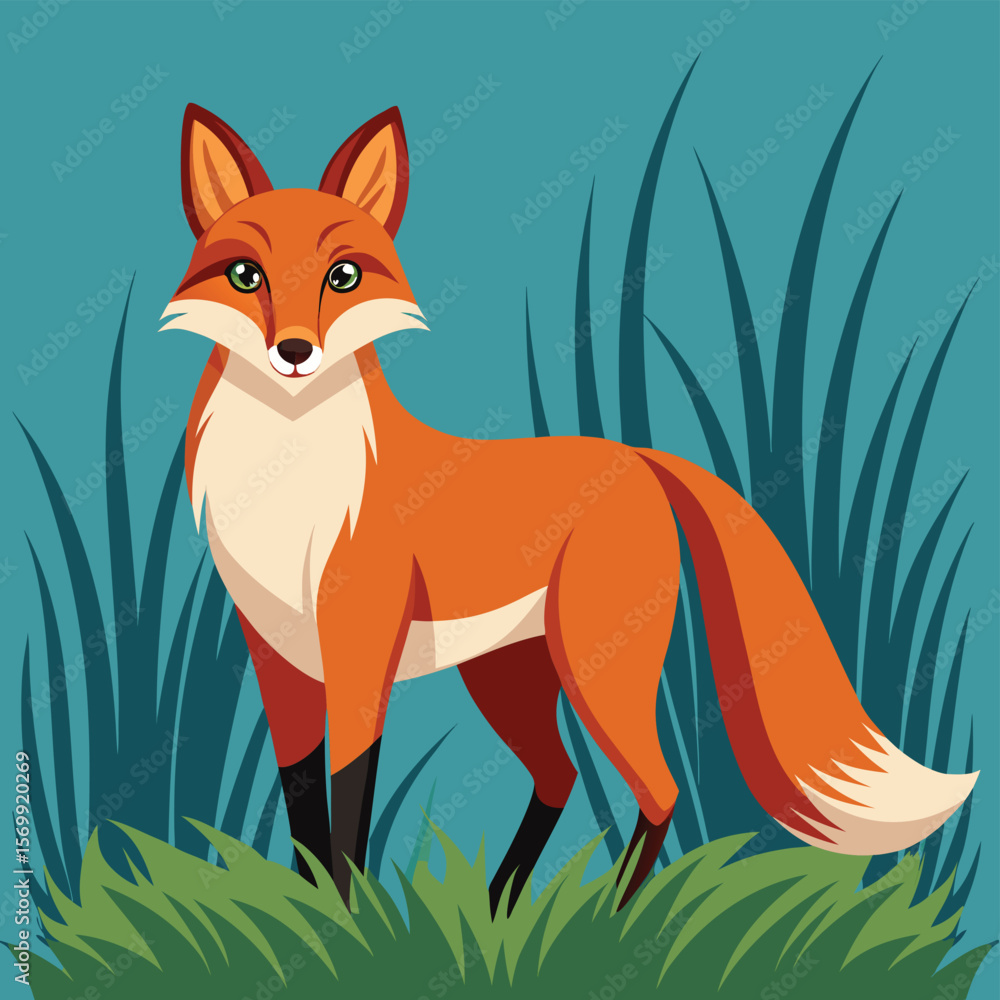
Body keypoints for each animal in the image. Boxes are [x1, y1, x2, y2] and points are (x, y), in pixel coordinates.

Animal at [163, 103, 977, 915]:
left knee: (656, 789)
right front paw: (313, 918)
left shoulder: (361, 653)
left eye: (343, 277)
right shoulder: (277, 657)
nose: (295, 352)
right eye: (246, 276)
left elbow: (348, 805)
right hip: (508, 676)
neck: (285, 484)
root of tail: (639, 459)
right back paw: (498, 909)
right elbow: (302, 801)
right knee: (560, 775)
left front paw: (349, 919)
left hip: (596, 668)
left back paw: (610, 919)